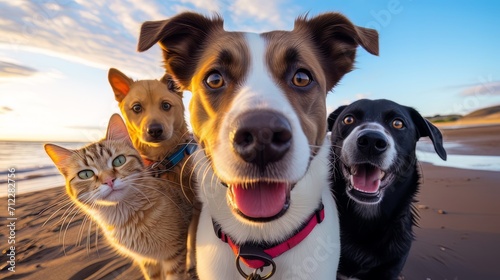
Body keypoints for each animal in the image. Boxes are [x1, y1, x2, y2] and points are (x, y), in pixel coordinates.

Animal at [44, 114, 192, 280]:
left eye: (119, 160)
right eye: (86, 174)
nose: (109, 180)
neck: (127, 219)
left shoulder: (175, 254)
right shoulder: (147, 261)